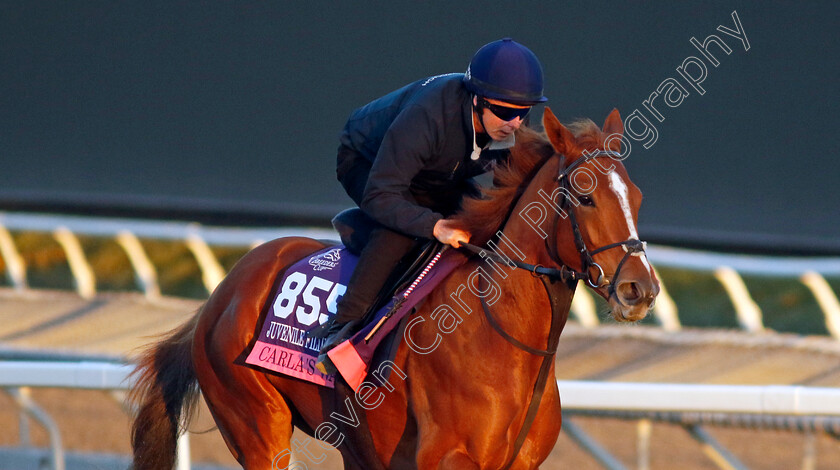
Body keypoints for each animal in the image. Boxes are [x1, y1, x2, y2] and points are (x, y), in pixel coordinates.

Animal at [130, 107, 656, 470]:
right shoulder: (450, 457)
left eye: (636, 196)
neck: (504, 338)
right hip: (257, 425)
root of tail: (221, 296)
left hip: (357, 447)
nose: (641, 288)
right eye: (585, 196)